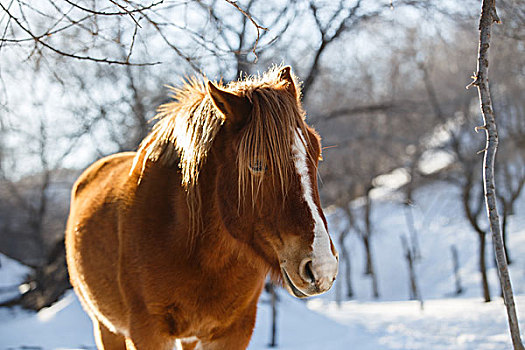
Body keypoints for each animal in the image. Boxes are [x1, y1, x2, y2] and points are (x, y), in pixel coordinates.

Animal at [65, 66, 338, 350]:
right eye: (257, 164)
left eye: (317, 153)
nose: (322, 267)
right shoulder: (148, 333)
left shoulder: (233, 333)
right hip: (107, 328)